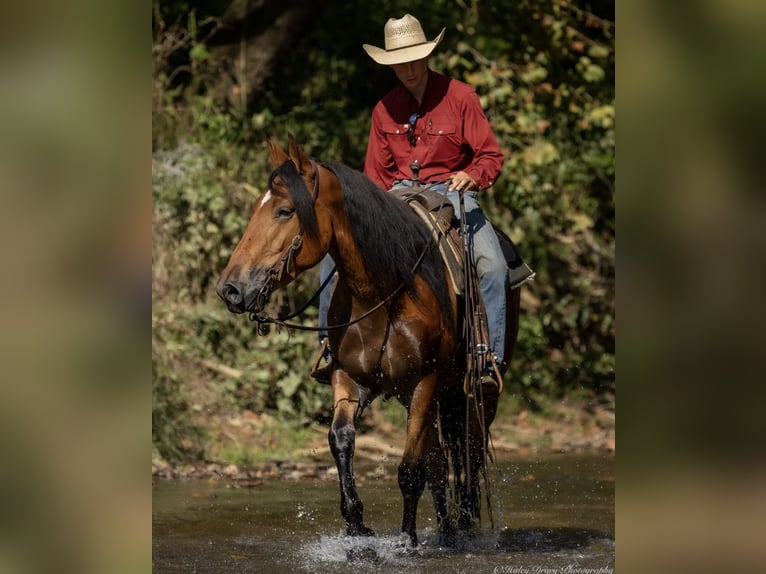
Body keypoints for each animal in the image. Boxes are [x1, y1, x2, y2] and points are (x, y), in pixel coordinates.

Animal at [216, 136, 521, 546]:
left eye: (284, 211)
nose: (230, 289)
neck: (384, 290)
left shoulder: (424, 383)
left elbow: (410, 469)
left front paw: (407, 540)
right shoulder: (350, 378)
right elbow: (341, 439)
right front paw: (357, 524)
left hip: (475, 394)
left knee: (469, 454)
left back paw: (466, 526)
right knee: (440, 460)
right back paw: (446, 529)